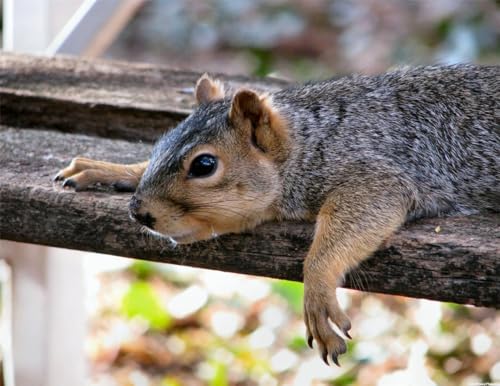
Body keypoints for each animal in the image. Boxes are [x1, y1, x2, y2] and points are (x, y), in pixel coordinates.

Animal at [55, 65, 500, 366]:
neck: (311, 141)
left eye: (204, 165)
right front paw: (108, 169)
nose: (140, 213)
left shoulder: (381, 174)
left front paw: (317, 290)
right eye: (159, 143)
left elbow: (359, 217)